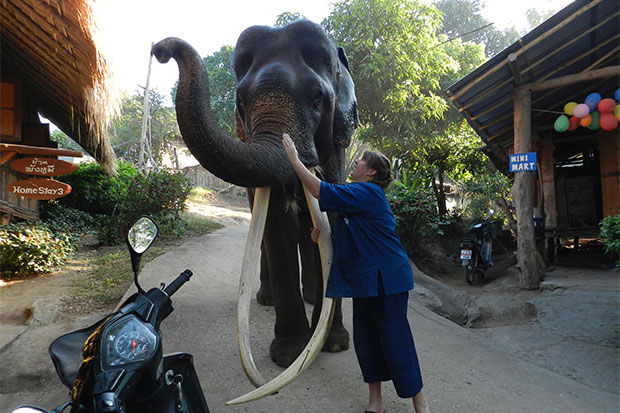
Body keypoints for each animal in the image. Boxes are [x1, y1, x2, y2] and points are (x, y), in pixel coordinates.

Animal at [151, 20, 360, 370]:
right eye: (241, 103)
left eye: (318, 98)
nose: (159, 49)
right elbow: (277, 224)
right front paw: (289, 354)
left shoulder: (337, 152)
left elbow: (331, 221)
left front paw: (334, 344)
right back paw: (267, 298)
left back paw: (311, 297)